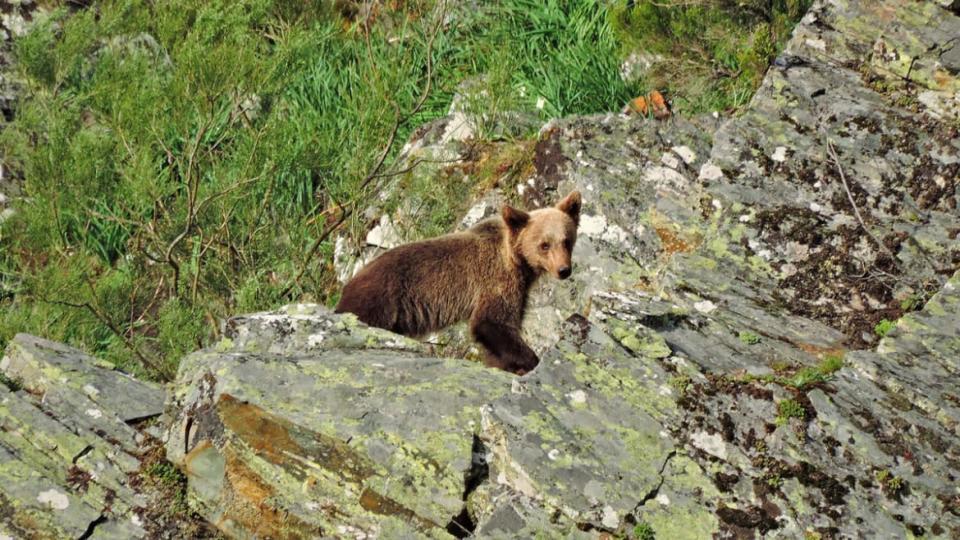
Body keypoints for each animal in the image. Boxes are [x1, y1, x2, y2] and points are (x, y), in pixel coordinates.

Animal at [334, 191, 580, 376]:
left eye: (567, 241)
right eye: (544, 245)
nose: (563, 270)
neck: (517, 261)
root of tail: (349, 284)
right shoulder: (497, 279)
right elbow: (492, 323)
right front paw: (531, 361)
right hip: (380, 301)